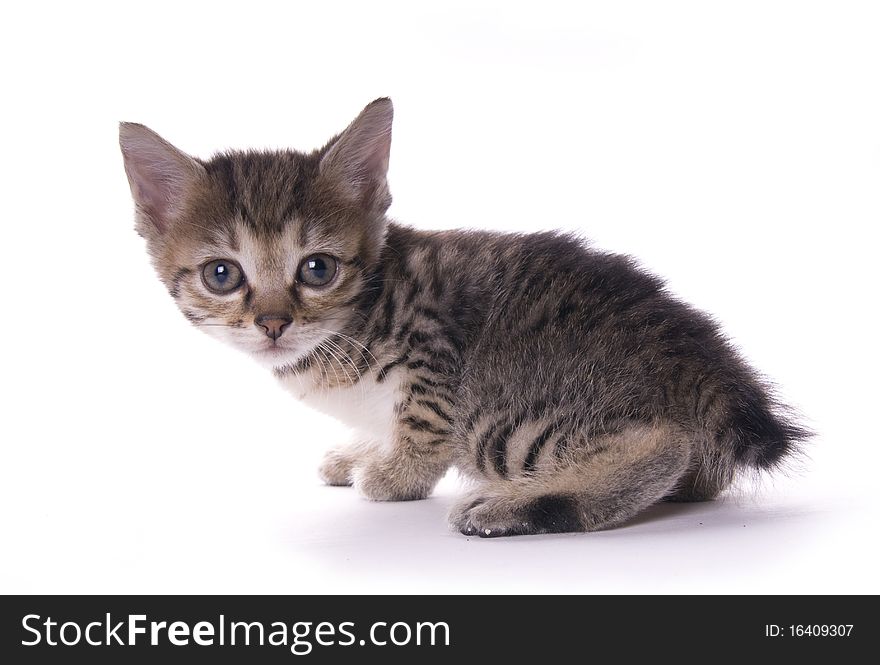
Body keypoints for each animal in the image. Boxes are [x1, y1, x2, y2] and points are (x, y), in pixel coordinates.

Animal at [120, 97, 808, 536]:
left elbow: (422, 421)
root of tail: (704, 364)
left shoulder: (433, 346)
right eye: (222, 274)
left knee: (663, 445)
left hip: (500, 411)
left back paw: (520, 506)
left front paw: (395, 473)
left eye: (317, 269)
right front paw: (361, 450)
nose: (272, 323)